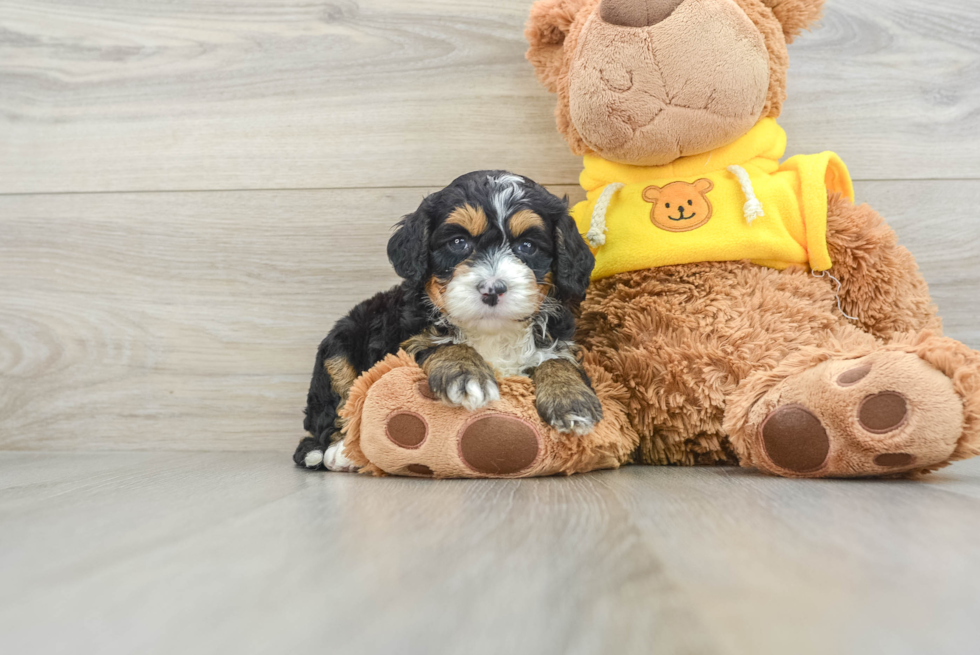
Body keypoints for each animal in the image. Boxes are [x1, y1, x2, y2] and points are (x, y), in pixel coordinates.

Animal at [292, 170, 596, 472]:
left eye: (527, 246)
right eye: (458, 242)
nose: (492, 289)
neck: (492, 332)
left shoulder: (558, 339)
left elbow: (557, 360)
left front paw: (571, 399)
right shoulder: (404, 340)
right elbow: (443, 343)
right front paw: (466, 374)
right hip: (338, 348)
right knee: (332, 410)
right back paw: (339, 451)